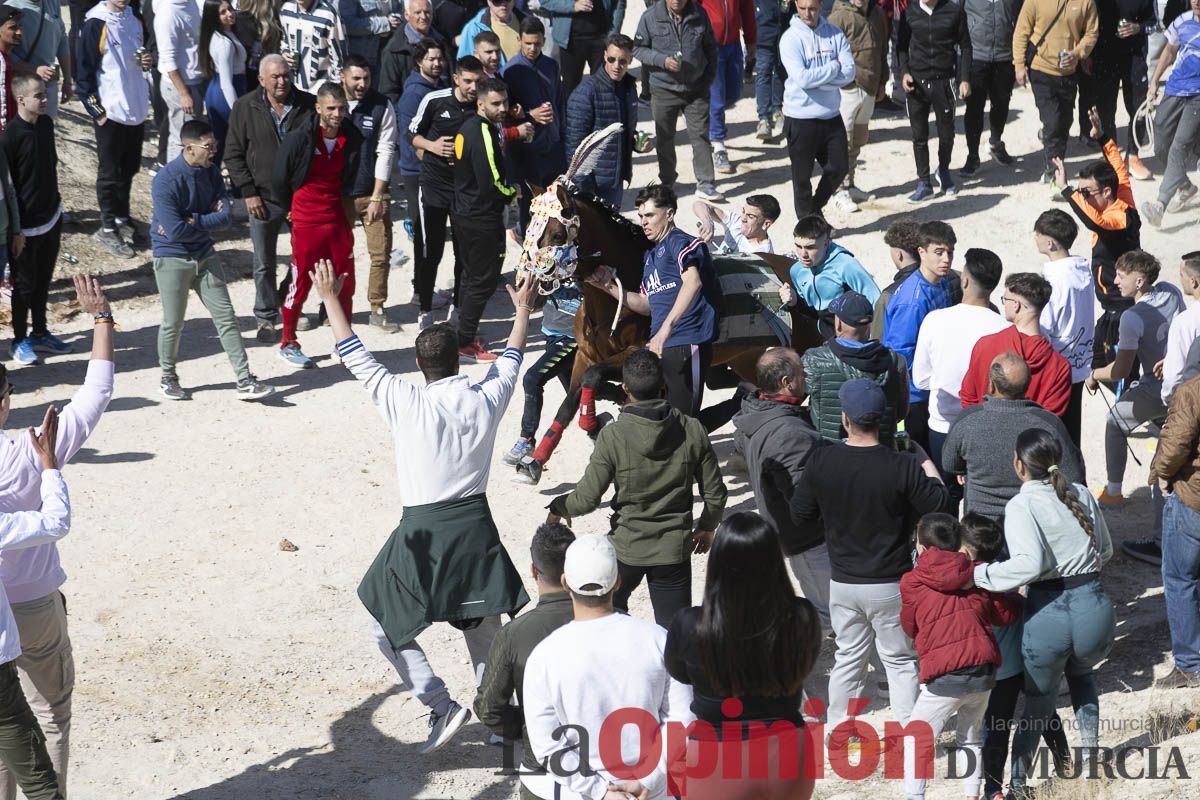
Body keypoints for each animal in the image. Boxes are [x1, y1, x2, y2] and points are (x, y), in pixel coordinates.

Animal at [506, 125, 825, 489]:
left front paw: (596, 421)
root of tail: (797, 278)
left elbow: (593, 378)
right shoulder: (584, 353)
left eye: (558, 235)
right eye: (529, 228)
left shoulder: (638, 354)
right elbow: (569, 402)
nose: (525, 285)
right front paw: (535, 460)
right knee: (748, 389)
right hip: (747, 359)